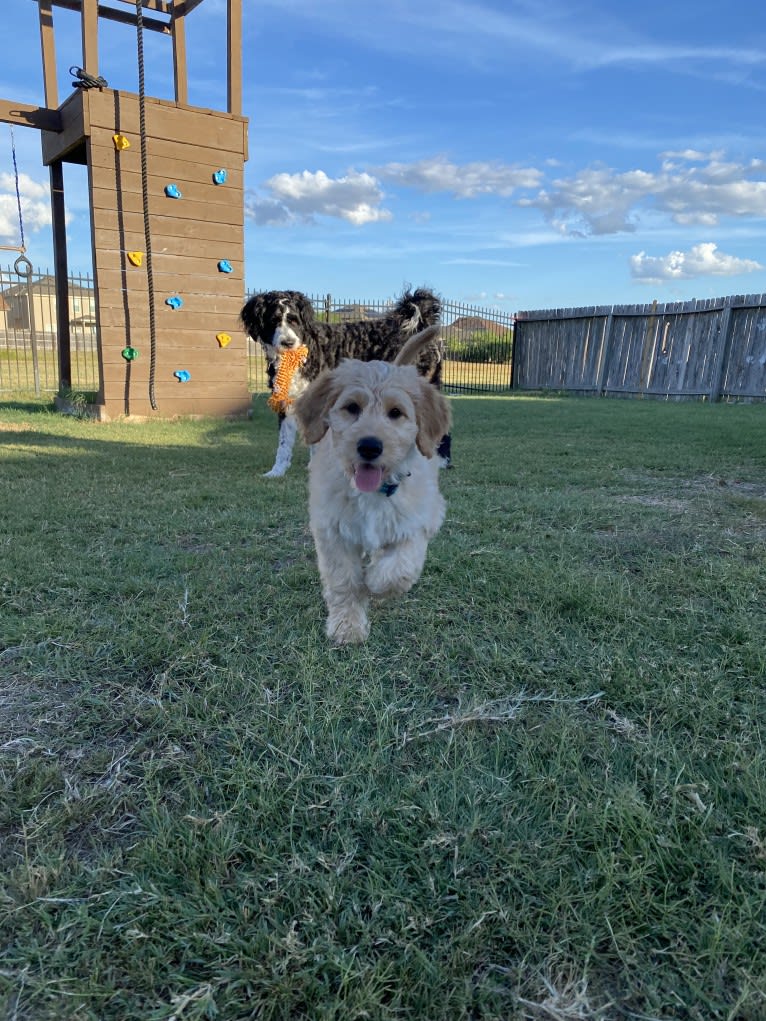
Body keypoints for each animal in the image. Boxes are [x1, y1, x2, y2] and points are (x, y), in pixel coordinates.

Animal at [243, 287, 453, 477]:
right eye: (274, 321)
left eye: (294, 320)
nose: (288, 342)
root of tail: (421, 325)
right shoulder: (288, 402)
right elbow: (284, 443)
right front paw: (277, 471)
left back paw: (440, 462)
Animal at [292, 326, 449, 645]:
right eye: (352, 408)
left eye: (396, 412)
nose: (369, 446)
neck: (372, 494)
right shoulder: (332, 531)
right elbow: (345, 582)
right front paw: (347, 626)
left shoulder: (421, 519)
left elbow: (401, 567)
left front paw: (377, 584)